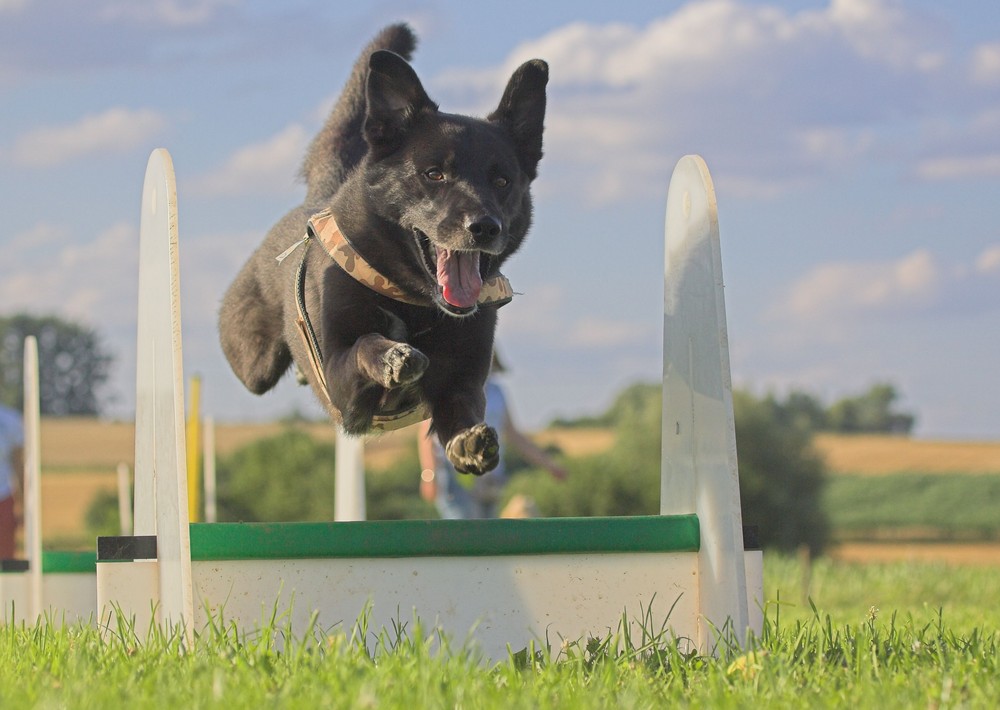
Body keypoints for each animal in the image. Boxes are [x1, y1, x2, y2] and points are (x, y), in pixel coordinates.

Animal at [219, 23, 548, 478]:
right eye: (434, 174)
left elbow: (463, 409)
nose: (484, 227)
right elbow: (364, 345)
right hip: (253, 361)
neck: (414, 303)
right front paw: (393, 356)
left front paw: (468, 442)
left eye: (502, 181)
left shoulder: (462, 381)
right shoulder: (339, 383)